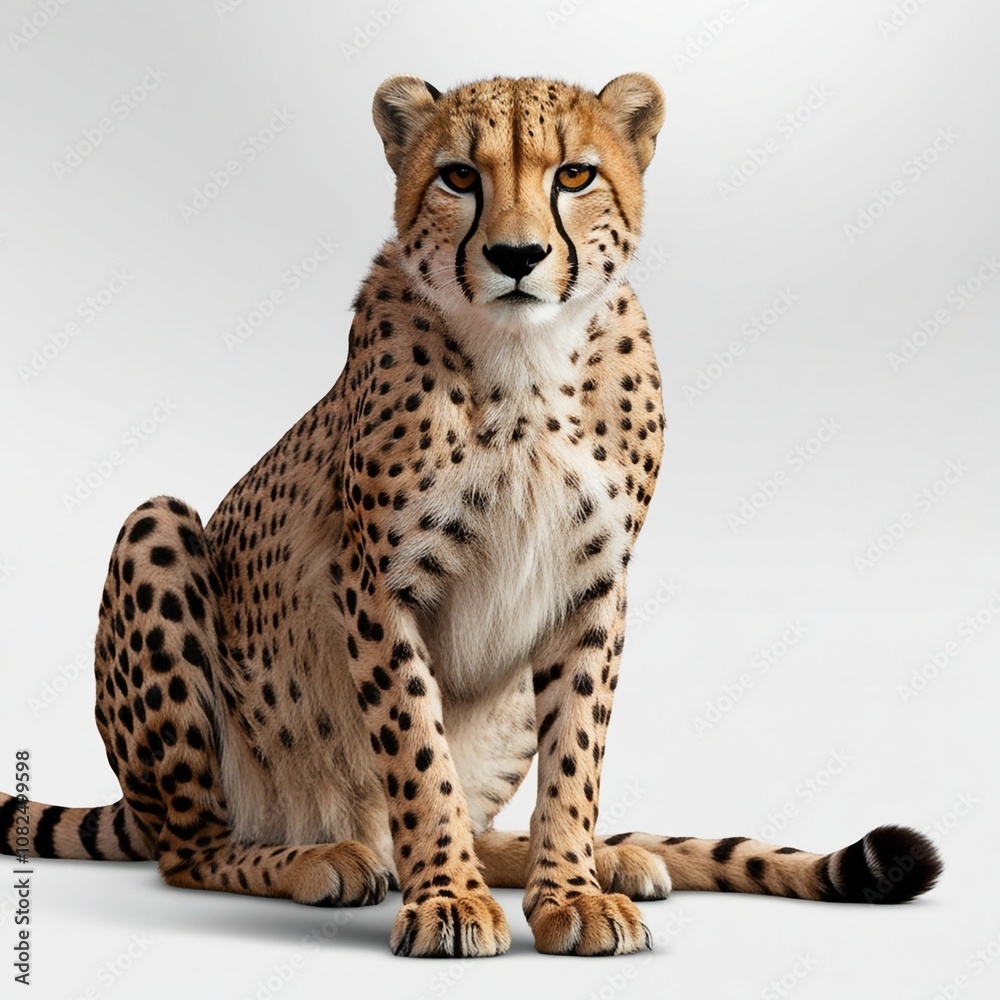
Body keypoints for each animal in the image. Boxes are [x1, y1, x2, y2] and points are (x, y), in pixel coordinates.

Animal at [1, 73, 941, 958]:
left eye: (575, 174)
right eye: (458, 175)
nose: (517, 255)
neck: (528, 364)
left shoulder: (593, 587)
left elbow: (576, 755)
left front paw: (569, 892)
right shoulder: (379, 585)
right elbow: (419, 753)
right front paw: (449, 899)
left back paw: (605, 856)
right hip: (154, 529)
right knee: (194, 850)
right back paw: (326, 859)